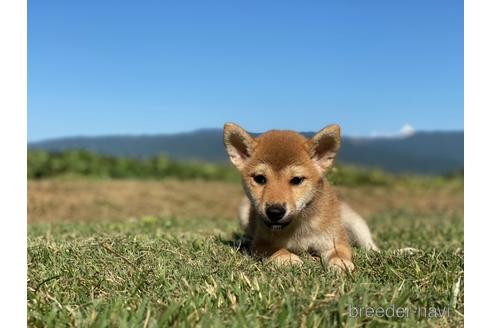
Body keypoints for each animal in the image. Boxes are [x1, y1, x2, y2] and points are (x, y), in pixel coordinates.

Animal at [225, 123, 378, 272]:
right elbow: (276, 250)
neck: (298, 229)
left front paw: (340, 264)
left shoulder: (334, 240)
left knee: (368, 242)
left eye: (296, 180)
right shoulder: (261, 242)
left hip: (354, 222)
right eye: (260, 179)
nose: (275, 211)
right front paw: (287, 258)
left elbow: (339, 253)